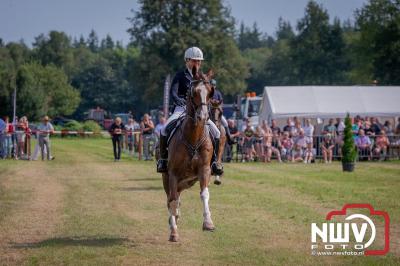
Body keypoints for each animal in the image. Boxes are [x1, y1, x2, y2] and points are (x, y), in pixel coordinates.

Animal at [161, 67, 216, 242]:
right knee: (171, 199)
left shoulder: (204, 170)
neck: (193, 136)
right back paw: (173, 222)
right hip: (168, 178)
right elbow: (172, 201)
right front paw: (174, 232)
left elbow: (204, 194)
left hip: (188, 181)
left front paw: (208, 223)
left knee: (177, 198)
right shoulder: (172, 173)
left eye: (210, 92)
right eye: (194, 92)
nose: (203, 116)